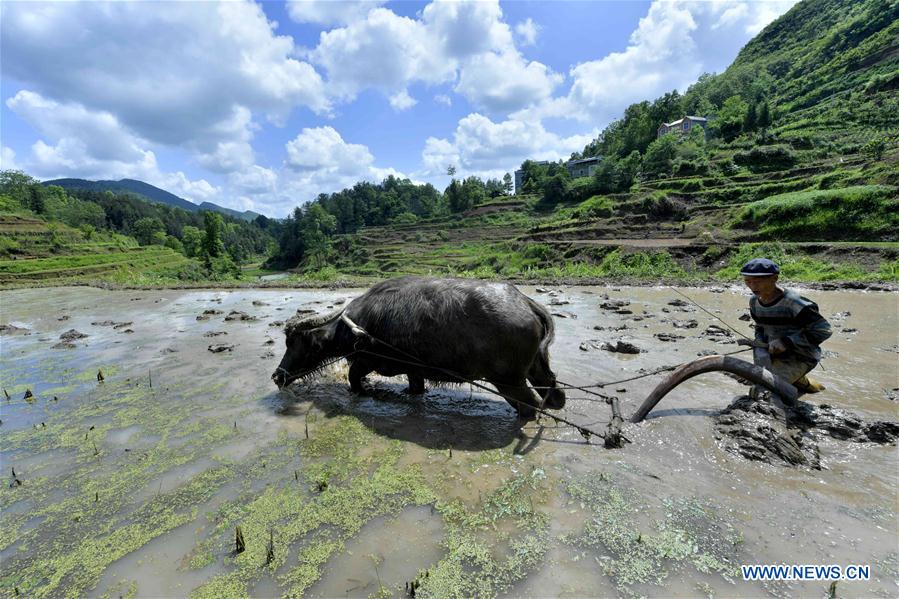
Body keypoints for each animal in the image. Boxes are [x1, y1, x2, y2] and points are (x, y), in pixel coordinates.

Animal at [274, 276, 568, 420]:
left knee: (530, 405)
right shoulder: (413, 370)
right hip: (536, 366)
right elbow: (416, 388)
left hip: (508, 380)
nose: (277, 376)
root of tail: (526, 302)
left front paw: (363, 391)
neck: (356, 327)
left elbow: (353, 377)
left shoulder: (366, 361)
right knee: (554, 393)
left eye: (294, 342)